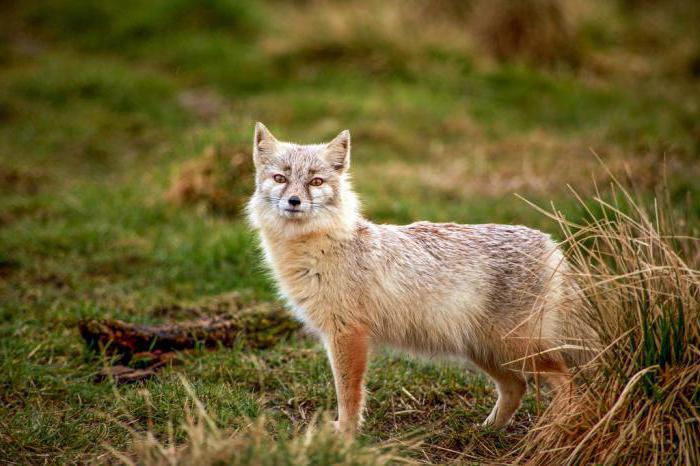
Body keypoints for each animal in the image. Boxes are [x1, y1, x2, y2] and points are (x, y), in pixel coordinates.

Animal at [249, 123, 588, 434]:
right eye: (280, 178)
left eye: (315, 181)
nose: (294, 201)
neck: (320, 246)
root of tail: (551, 244)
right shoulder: (337, 333)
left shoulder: (348, 334)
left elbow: (349, 394)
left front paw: (346, 434)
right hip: (487, 351)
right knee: (517, 387)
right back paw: (486, 430)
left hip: (516, 349)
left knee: (567, 381)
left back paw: (555, 430)